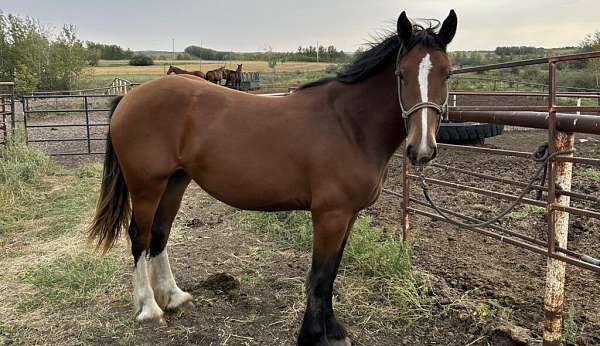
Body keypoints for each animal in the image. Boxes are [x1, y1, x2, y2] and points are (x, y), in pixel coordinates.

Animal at [88, 10, 454, 346]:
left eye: (447, 74)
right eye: (401, 74)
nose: (422, 149)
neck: (349, 124)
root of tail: (129, 97)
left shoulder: (348, 216)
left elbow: (332, 271)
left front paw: (332, 329)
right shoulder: (330, 215)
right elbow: (321, 275)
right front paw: (313, 334)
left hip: (175, 182)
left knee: (160, 234)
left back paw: (174, 297)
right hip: (146, 186)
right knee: (139, 236)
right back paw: (149, 308)